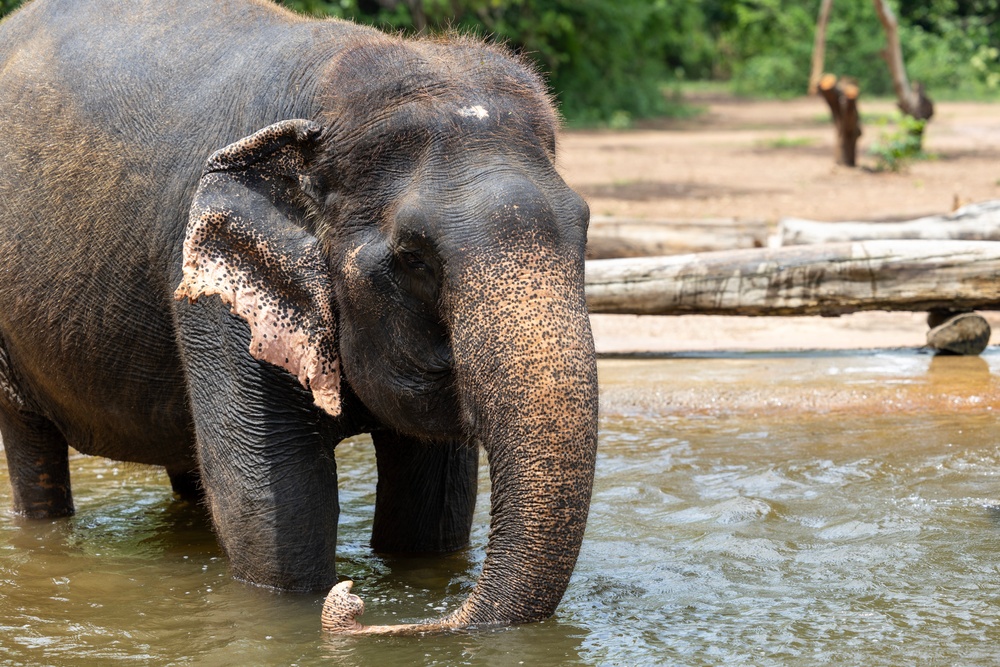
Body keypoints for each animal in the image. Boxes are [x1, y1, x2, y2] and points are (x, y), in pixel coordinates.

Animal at [0, 0, 592, 632]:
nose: (355, 605)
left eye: (584, 229)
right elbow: (274, 500)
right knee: (32, 450)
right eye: (414, 259)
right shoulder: (219, 301)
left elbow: (431, 505)